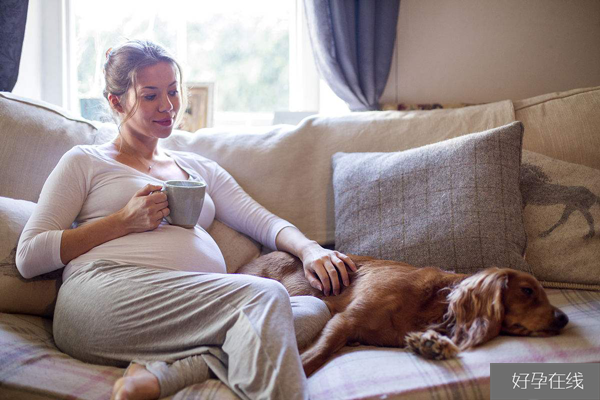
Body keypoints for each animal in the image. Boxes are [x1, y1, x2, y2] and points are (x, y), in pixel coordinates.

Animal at [237, 252, 568, 376]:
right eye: (527, 291)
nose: (564, 319)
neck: (432, 303)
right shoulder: (345, 320)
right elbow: (318, 353)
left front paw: (432, 345)